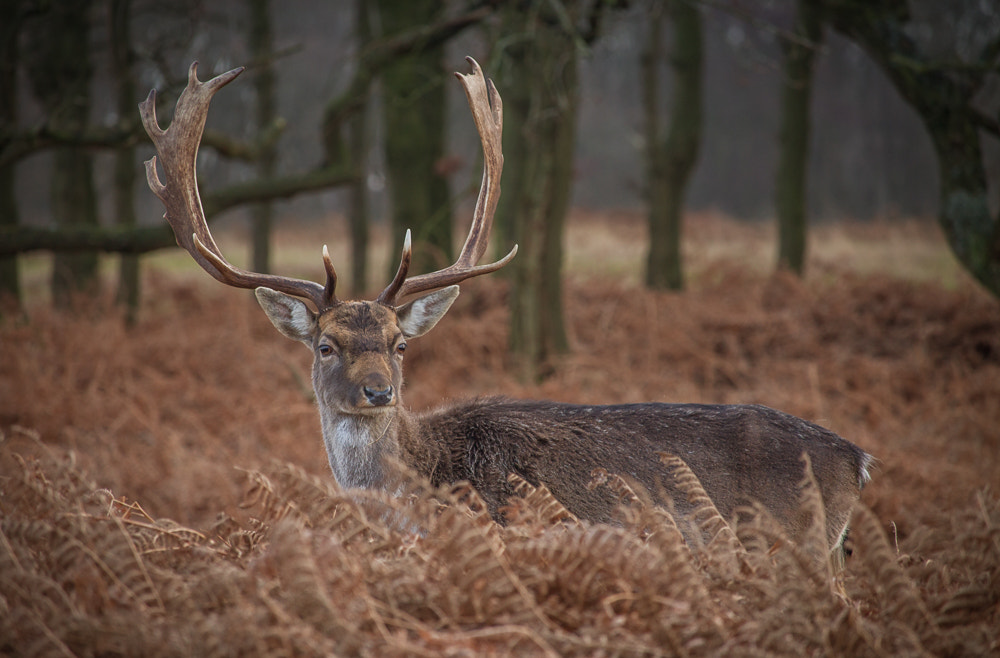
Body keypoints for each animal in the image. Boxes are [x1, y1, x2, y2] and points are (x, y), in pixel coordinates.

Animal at [140, 58, 872, 554]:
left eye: (400, 344)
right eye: (326, 345)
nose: (378, 391)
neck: (422, 490)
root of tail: (858, 459)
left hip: (801, 545)